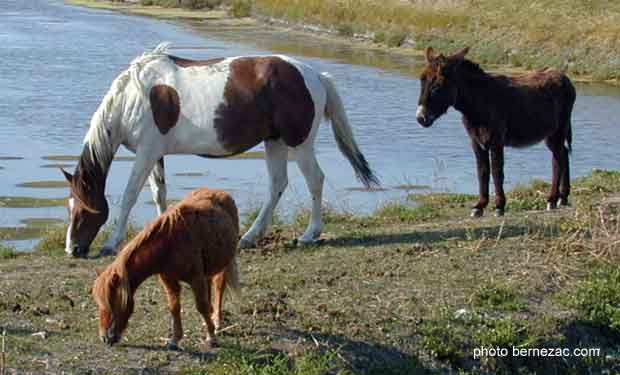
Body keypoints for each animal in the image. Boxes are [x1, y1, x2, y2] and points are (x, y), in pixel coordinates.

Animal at [65, 42, 380, 258]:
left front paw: (111, 244)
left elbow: (130, 196)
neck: (133, 97)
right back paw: (250, 237)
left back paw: (309, 234)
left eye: (82, 208)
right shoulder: (155, 155)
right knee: (277, 185)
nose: (73, 249)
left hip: (298, 144)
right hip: (275, 142)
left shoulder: (146, 152)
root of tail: (316, 76)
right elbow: (159, 195)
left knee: (315, 180)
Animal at [92, 189, 240, 352]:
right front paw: (175, 340)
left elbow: (201, 306)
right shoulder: (169, 280)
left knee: (219, 287)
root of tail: (220, 192)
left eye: (112, 303)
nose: (104, 337)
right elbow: (174, 308)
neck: (170, 244)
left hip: (223, 265)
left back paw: (217, 322)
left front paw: (211, 338)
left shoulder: (195, 279)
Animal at [416, 47, 576, 217]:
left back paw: (552, 199)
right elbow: (482, 172)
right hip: (550, 134)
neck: (478, 101)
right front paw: (479, 206)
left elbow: (497, 171)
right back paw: (562, 197)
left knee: (558, 160)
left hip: (559, 129)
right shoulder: (476, 141)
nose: (420, 118)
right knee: (563, 154)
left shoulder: (496, 140)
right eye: (422, 80)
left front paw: (499, 206)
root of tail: (564, 77)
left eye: (437, 86)